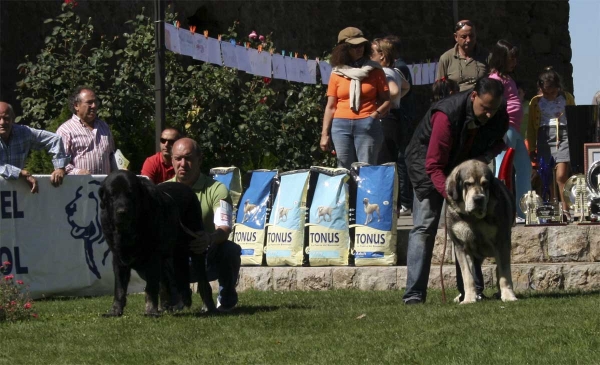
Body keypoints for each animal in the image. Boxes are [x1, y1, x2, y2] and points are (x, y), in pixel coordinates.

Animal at [99, 171, 217, 316]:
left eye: (130, 194)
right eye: (112, 195)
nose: (122, 212)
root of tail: (188, 189)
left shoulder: (152, 257)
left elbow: (151, 287)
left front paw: (150, 311)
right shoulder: (119, 258)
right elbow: (119, 288)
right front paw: (115, 310)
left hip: (195, 246)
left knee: (202, 282)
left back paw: (208, 306)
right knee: (174, 281)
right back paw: (171, 306)